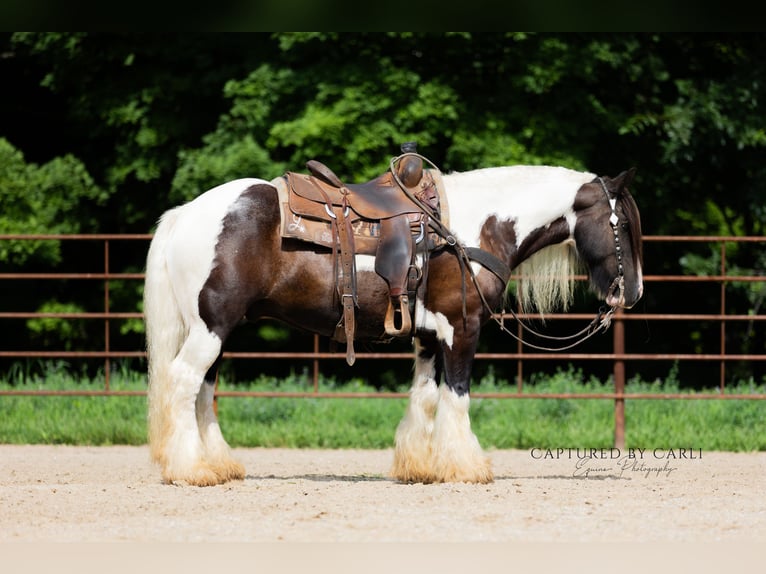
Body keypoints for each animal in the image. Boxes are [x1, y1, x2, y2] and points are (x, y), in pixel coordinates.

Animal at [143, 163, 643, 486]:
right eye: (622, 227)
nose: (633, 292)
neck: (470, 230)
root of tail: (186, 213)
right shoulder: (462, 327)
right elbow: (457, 395)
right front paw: (466, 467)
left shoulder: (429, 336)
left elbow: (425, 396)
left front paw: (419, 466)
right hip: (211, 328)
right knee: (184, 381)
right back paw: (191, 471)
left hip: (217, 331)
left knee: (204, 389)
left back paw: (219, 466)